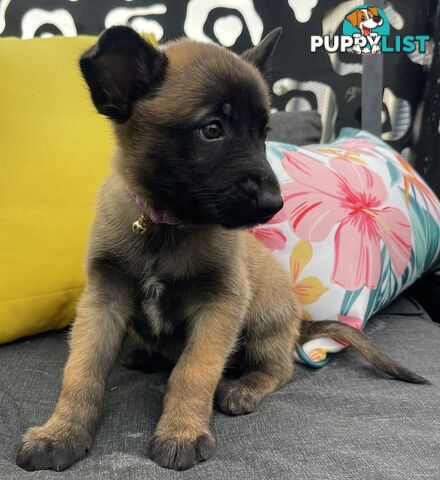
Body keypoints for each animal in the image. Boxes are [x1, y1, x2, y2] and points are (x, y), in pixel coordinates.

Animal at [16, 26, 426, 472]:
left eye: (264, 133)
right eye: (212, 129)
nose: (273, 204)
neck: (164, 226)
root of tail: (299, 324)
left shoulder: (219, 306)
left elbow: (193, 372)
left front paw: (181, 432)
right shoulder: (102, 302)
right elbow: (81, 371)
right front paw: (61, 432)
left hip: (264, 320)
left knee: (281, 368)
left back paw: (244, 387)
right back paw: (147, 355)